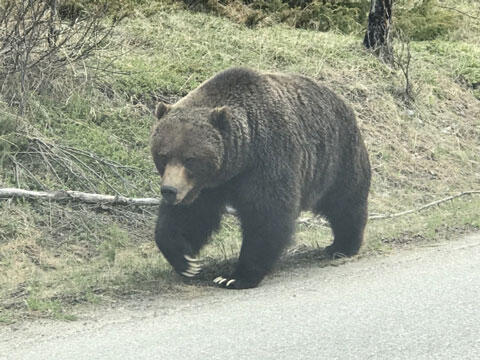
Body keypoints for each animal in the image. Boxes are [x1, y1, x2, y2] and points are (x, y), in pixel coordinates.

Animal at [151, 66, 372, 288]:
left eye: (190, 159)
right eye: (163, 155)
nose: (169, 190)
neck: (240, 158)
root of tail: (342, 99)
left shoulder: (268, 160)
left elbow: (267, 215)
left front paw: (235, 277)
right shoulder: (207, 186)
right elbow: (191, 216)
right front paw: (186, 261)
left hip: (338, 156)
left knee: (345, 202)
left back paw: (342, 246)